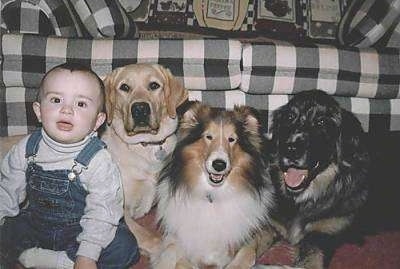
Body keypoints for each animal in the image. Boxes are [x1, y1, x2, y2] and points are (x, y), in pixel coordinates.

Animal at [152, 101, 276, 266]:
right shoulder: (176, 237)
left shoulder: (263, 232)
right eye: (208, 136)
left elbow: (246, 254)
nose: (219, 165)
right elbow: (170, 254)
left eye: (232, 139)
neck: (214, 194)